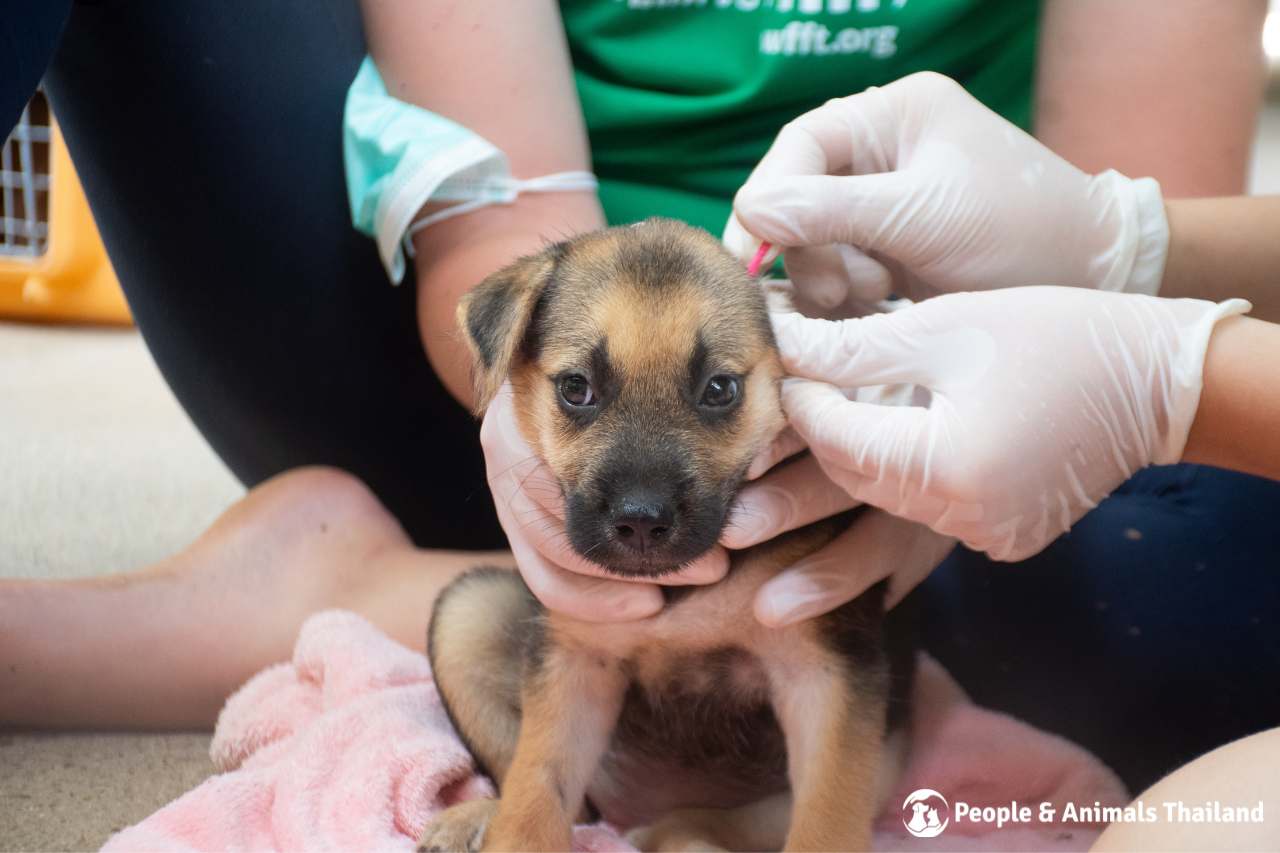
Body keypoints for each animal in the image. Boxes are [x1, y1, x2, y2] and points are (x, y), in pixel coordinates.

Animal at [419, 219, 911, 850]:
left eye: (720, 389)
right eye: (575, 388)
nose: (641, 522)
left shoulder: (828, 677)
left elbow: (828, 818)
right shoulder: (574, 662)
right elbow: (535, 789)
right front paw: (511, 830)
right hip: (468, 610)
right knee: (570, 804)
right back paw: (477, 817)